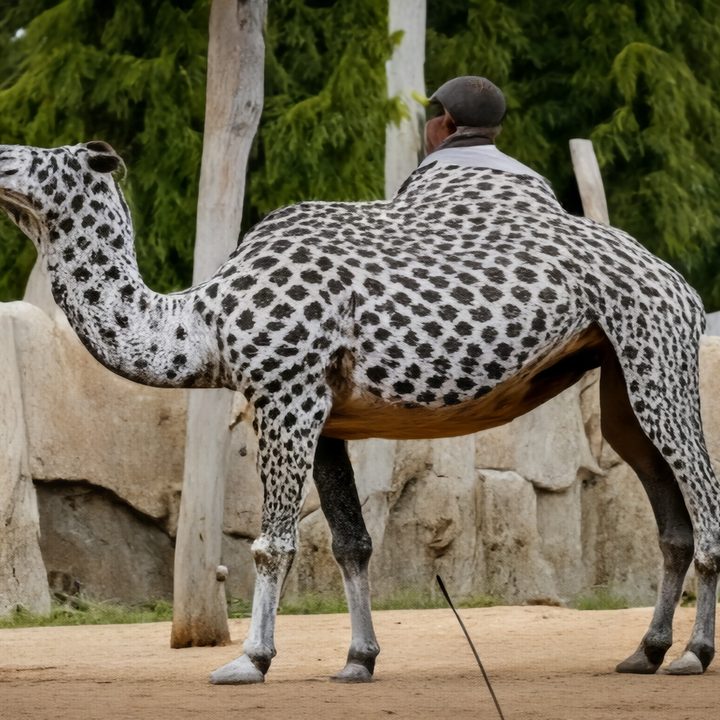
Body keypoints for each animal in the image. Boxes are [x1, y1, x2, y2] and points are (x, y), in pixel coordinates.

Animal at [0, 140, 717, 684]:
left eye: (37, 156)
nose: (2, 157)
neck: (203, 323)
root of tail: (680, 285)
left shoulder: (286, 395)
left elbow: (273, 543)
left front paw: (250, 661)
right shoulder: (326, 421)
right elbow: (352, 543)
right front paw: (357, 660)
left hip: (658, 360)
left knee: (705, 500)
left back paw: (692, 654)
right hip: (618, 383)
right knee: (671, 520)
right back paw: (645, 652)